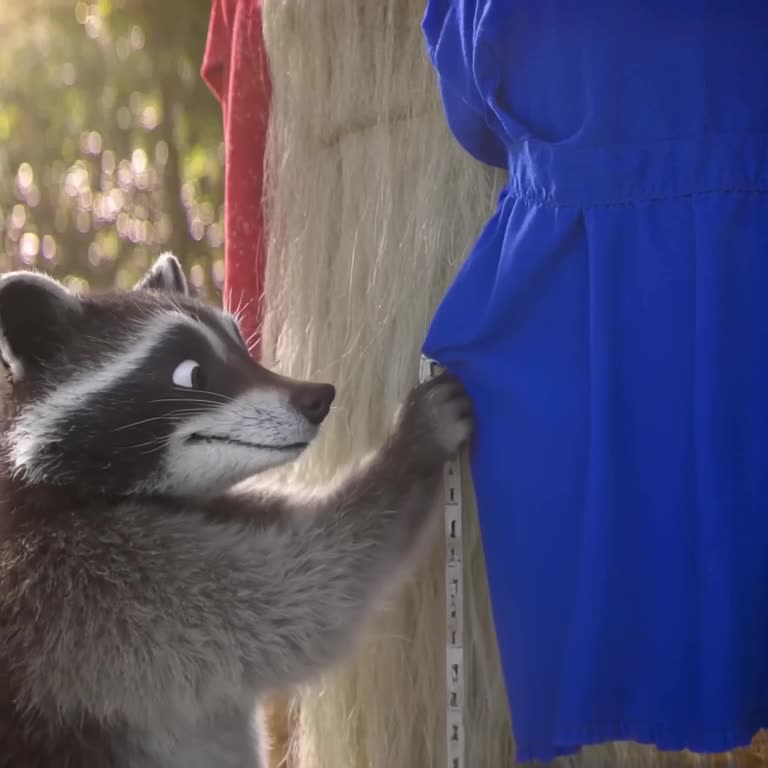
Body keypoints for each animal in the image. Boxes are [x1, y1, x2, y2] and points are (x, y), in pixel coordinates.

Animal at [0, 253, 473, 768]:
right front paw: (408, 453)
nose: (318, 397)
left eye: (241, 344)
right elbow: (305, 592)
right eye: (190, 374)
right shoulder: (79, 587)